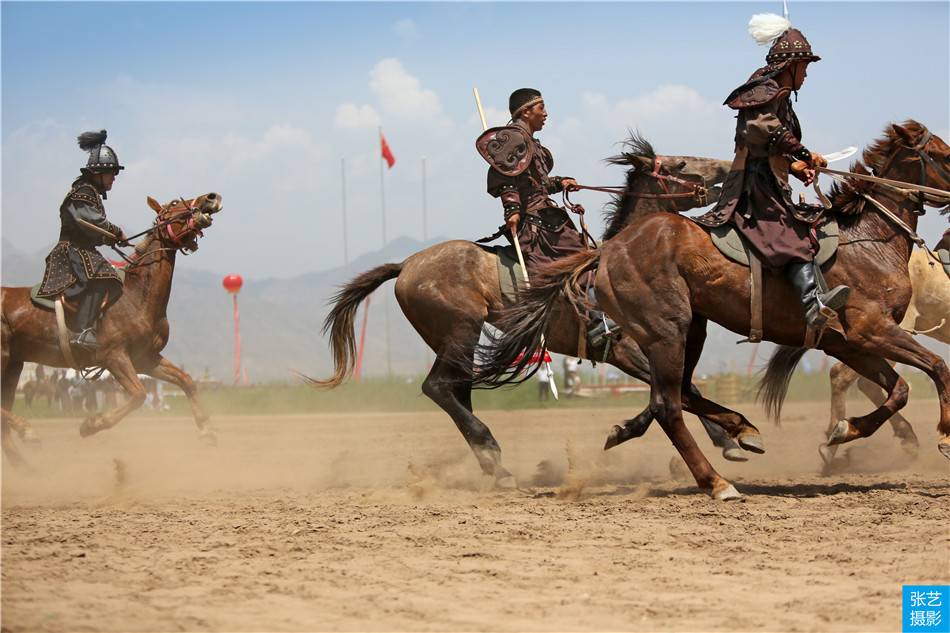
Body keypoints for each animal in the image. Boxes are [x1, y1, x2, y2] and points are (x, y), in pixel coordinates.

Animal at [0, 193, 223, 464]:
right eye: (172, 204)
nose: (211, 198)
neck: (137, 295)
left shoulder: (145, 358)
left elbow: (186, 380)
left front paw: (206, 431)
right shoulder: (114, 356)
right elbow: (138, 395)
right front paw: (92, 424)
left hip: (14, 365)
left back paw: (24, 464)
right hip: (4, 358)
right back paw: (27, 431)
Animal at [312, 137, 768, 484]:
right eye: (681, 162)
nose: (727, 168)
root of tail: (406, 265)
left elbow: (684, 392)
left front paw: (726, 439)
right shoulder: (626, 348)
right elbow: (682, 393)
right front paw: (730, 434)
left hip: (456, 341)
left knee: (456, 390)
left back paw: (492, 463)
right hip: (461, 329)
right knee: (438, 387)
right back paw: (493, 456)